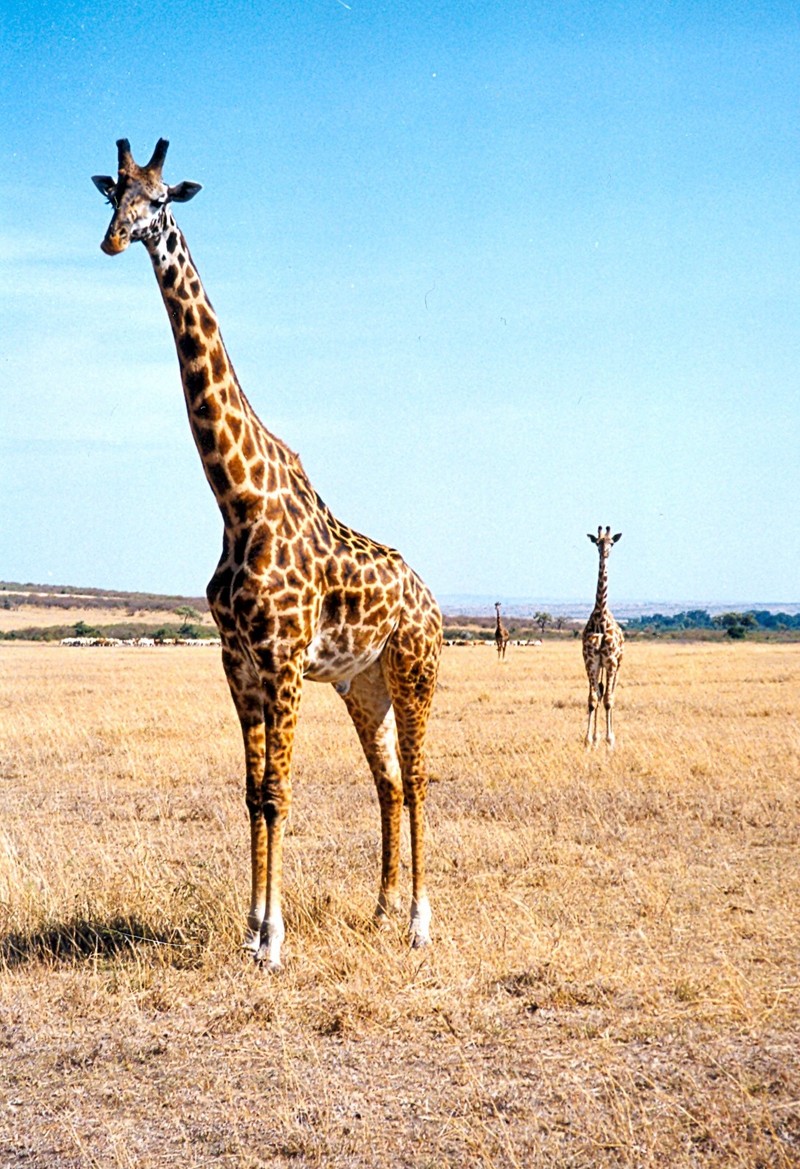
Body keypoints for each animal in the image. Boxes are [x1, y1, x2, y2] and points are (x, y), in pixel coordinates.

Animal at [95, 141, 444, 972]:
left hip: (416, 668)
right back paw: (382, 909)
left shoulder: (282, 657)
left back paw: (419, 922)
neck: (235, 498)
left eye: (162, 200)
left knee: (418, 778)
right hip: (363, 683)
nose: (116, 241)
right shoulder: (238, 661)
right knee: (387, 780)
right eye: (112, 195)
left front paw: (274, 943)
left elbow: (280, 791)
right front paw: (251, 927)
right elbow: (253, 792)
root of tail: (432, 597)